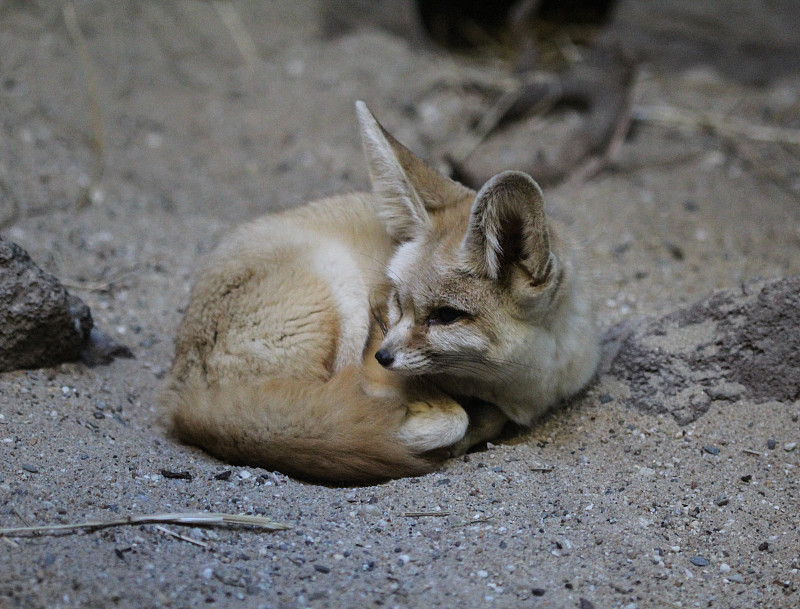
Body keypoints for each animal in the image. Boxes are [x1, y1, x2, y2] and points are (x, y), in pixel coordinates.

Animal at [162, 101, 596, 484]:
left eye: (446, 315)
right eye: (397, 303)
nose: (382, 356)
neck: (521, 382)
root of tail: (183, 396)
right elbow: (450, 418)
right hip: (340, 290)